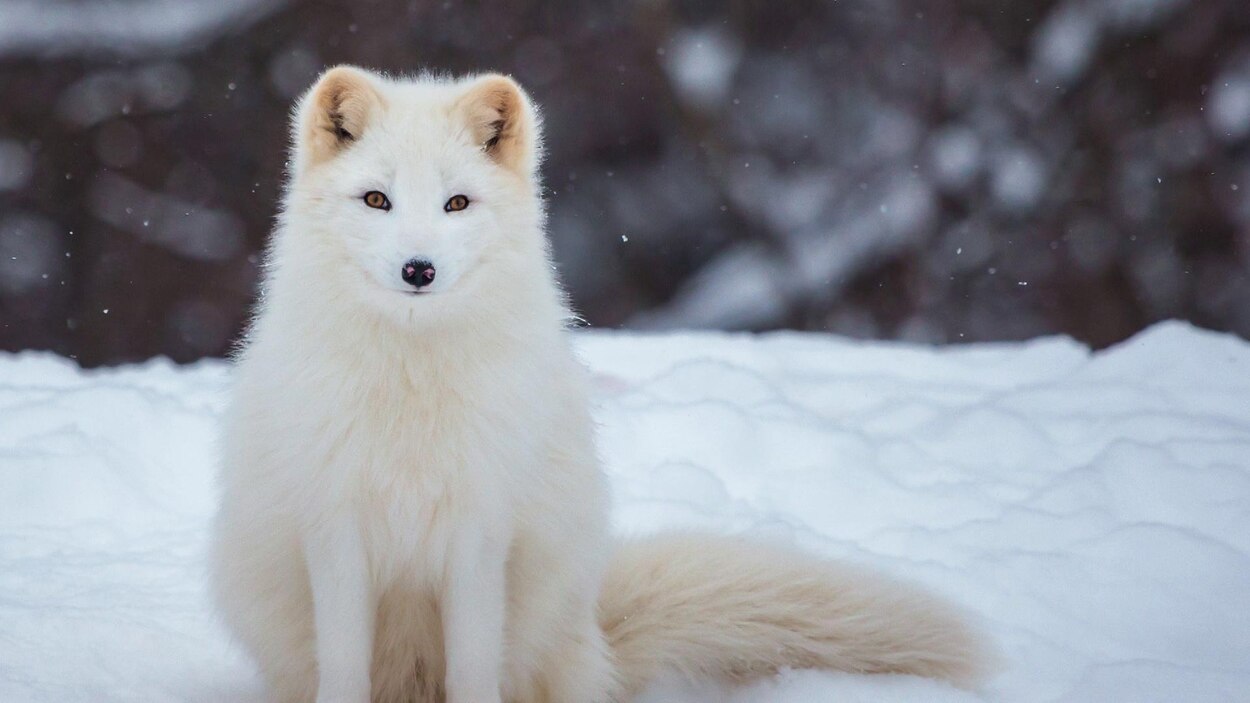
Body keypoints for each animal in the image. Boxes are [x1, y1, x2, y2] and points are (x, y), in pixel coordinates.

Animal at [208, 65, 996, 703]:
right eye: (376, 200)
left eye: (456, 204)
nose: (418, 269)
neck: (412, 394)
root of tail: (596, 630)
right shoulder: (334, 528)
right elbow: (344, 667)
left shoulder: (479, 530)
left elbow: (472, 666)